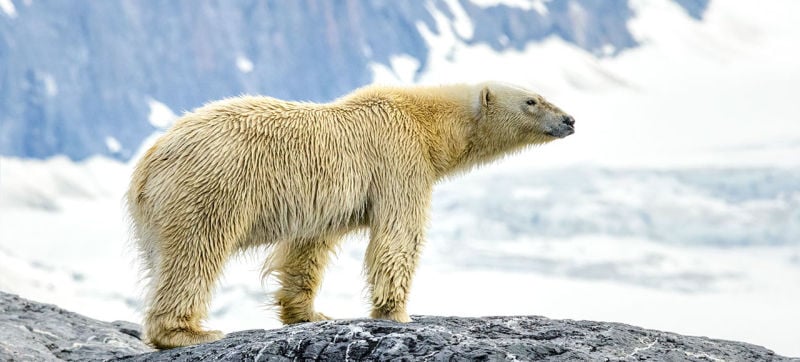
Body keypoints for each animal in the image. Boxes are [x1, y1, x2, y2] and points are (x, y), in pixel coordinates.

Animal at [126, 82, 576, 348]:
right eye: (532, 100)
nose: (570, 119)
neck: (424, 120)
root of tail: (148, 162)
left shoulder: (319, 202)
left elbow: (307, 248)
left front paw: (309, 313)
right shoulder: (399, 159)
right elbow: (398, 235)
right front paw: (396, 313)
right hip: (211, 187)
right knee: (195, 253)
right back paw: (188, 332)